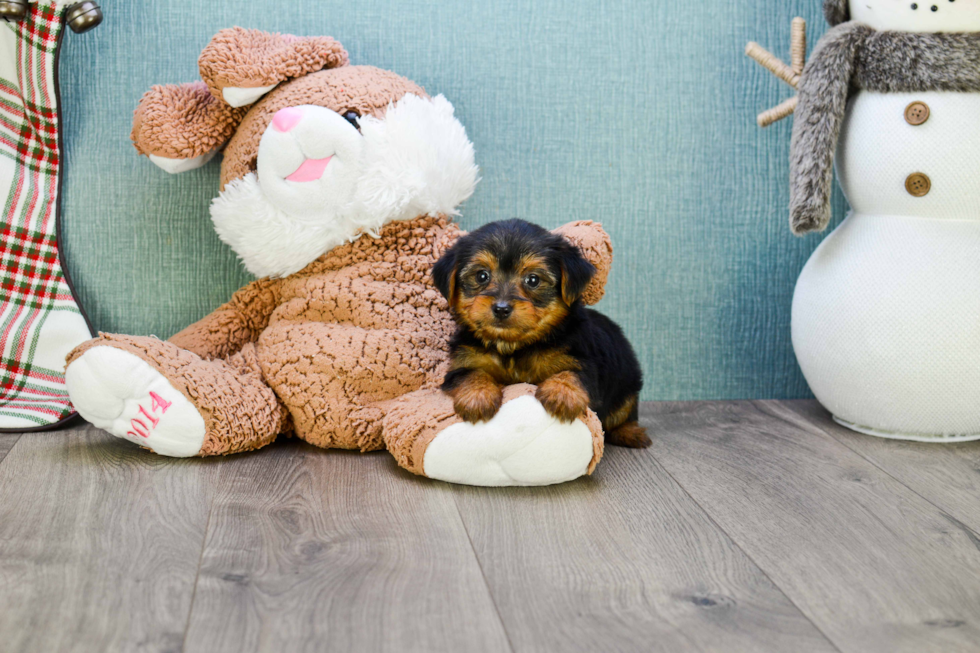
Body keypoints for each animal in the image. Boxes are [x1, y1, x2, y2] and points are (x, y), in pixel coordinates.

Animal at [430, 219, 648, 448]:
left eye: (533, 280)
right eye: (482, 275)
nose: (501, 308)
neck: (514, 346)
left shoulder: (583, 360)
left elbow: (573, 373)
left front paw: (562, 394)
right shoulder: (463, 362)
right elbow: (471, 373)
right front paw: (478, 396)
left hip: (627, 383)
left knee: (624, 411)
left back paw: (630, 433)